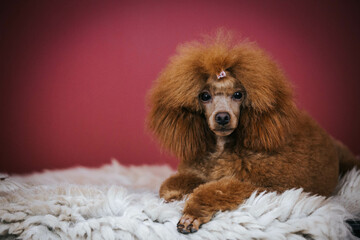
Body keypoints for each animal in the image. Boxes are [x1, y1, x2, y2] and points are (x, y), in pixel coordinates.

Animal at [146, 32, 358, 234]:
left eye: (238, 95)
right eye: (204, 96)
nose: (222, 117)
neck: (223, 149)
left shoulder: (263, 187)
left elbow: (217, 189)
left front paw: (192, 213)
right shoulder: (197, 170)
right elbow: (168, 187)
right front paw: (177, 195)